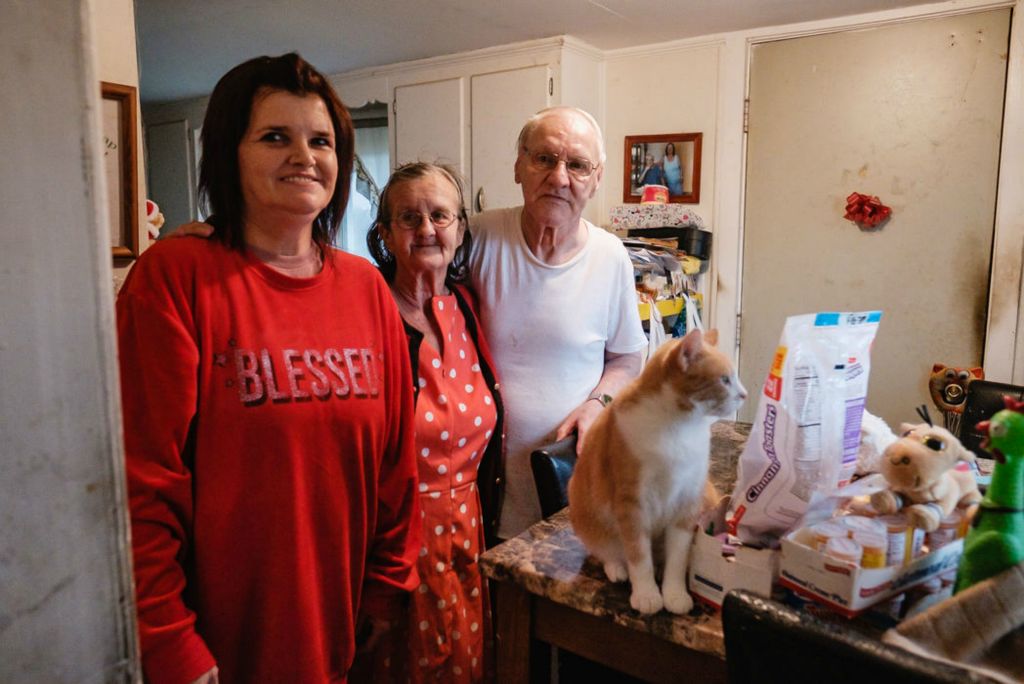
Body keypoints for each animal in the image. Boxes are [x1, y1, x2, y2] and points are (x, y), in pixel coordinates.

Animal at [569, 327, 745, 614]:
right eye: (725, 380)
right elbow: (639, 556)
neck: (678, 426)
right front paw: (647, 594)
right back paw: (618, 568)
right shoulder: (631, 505)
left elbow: (677, 559)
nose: (745, 394)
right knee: (608, 551)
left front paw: (674, 594)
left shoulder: (687, 503)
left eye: (734, 378)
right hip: (585, 513)